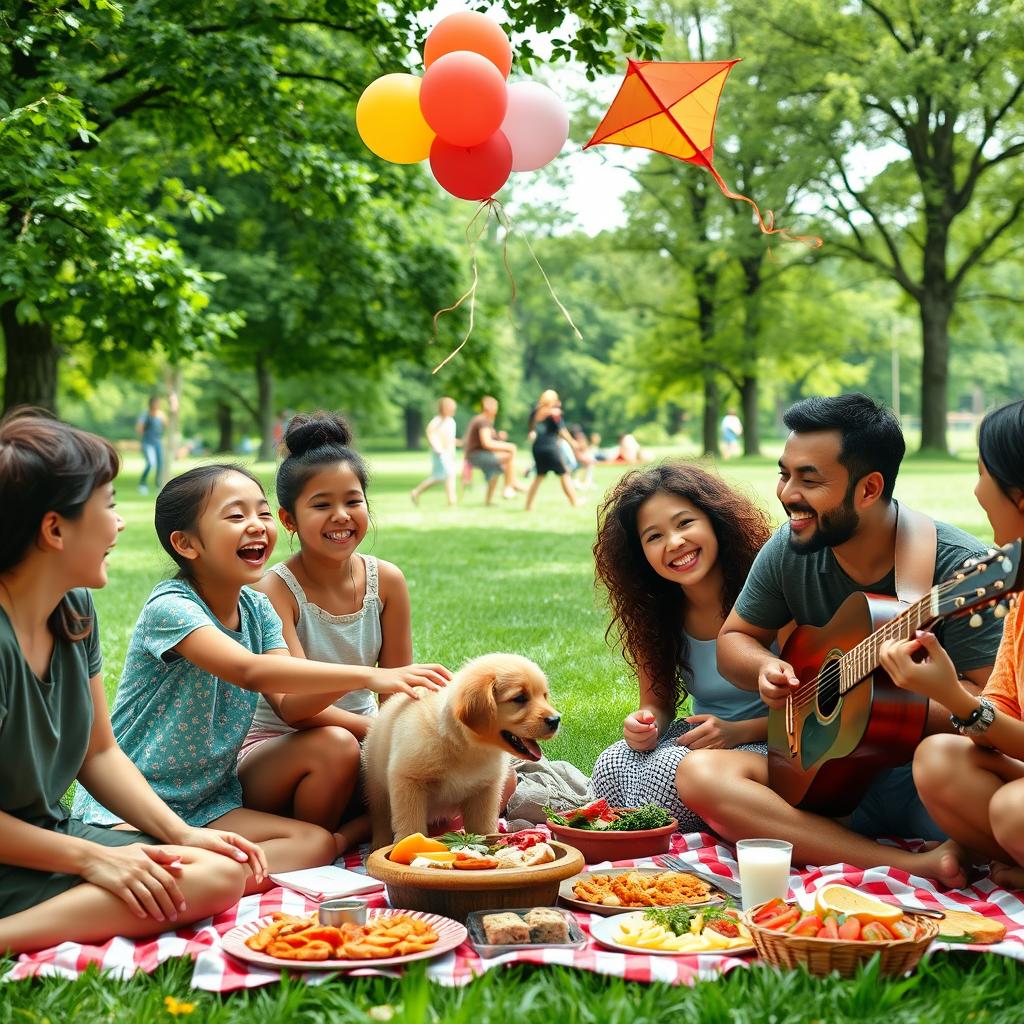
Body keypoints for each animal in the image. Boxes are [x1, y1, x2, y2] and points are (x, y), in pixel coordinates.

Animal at [366, 655, 565, 847]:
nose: (556, 720)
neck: (467, 748)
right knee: (381, 819)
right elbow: (411, 825)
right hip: (377, 788)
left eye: (544, 696)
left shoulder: (485, 792)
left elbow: (483, 828)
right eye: (520, 698)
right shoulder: (408, 781)